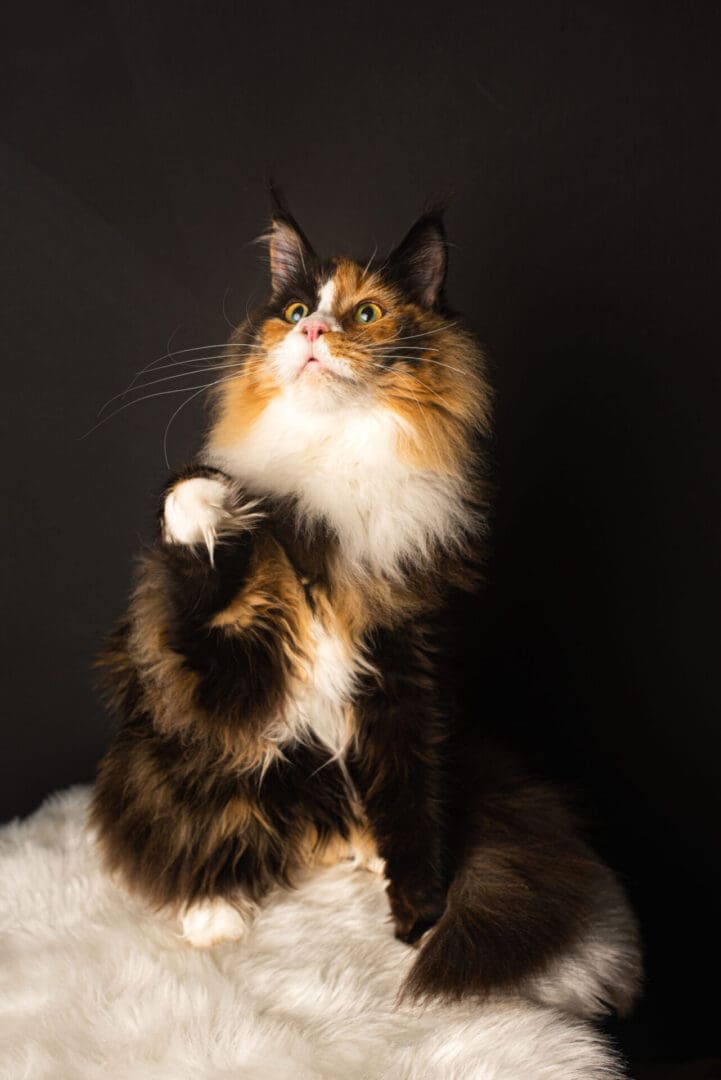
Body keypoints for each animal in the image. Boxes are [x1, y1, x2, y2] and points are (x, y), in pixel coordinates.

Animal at [91, 192, 643, 1010]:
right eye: (294, 311)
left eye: (365, 314)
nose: (314, 332)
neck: (335, 465)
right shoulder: (213, 662)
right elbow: (193, 530)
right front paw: (214, 502)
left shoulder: (404, 672)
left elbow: (411, 803)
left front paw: (418, 920)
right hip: (166, 763)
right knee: (202, 826)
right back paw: (214, 911)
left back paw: (363, 857)